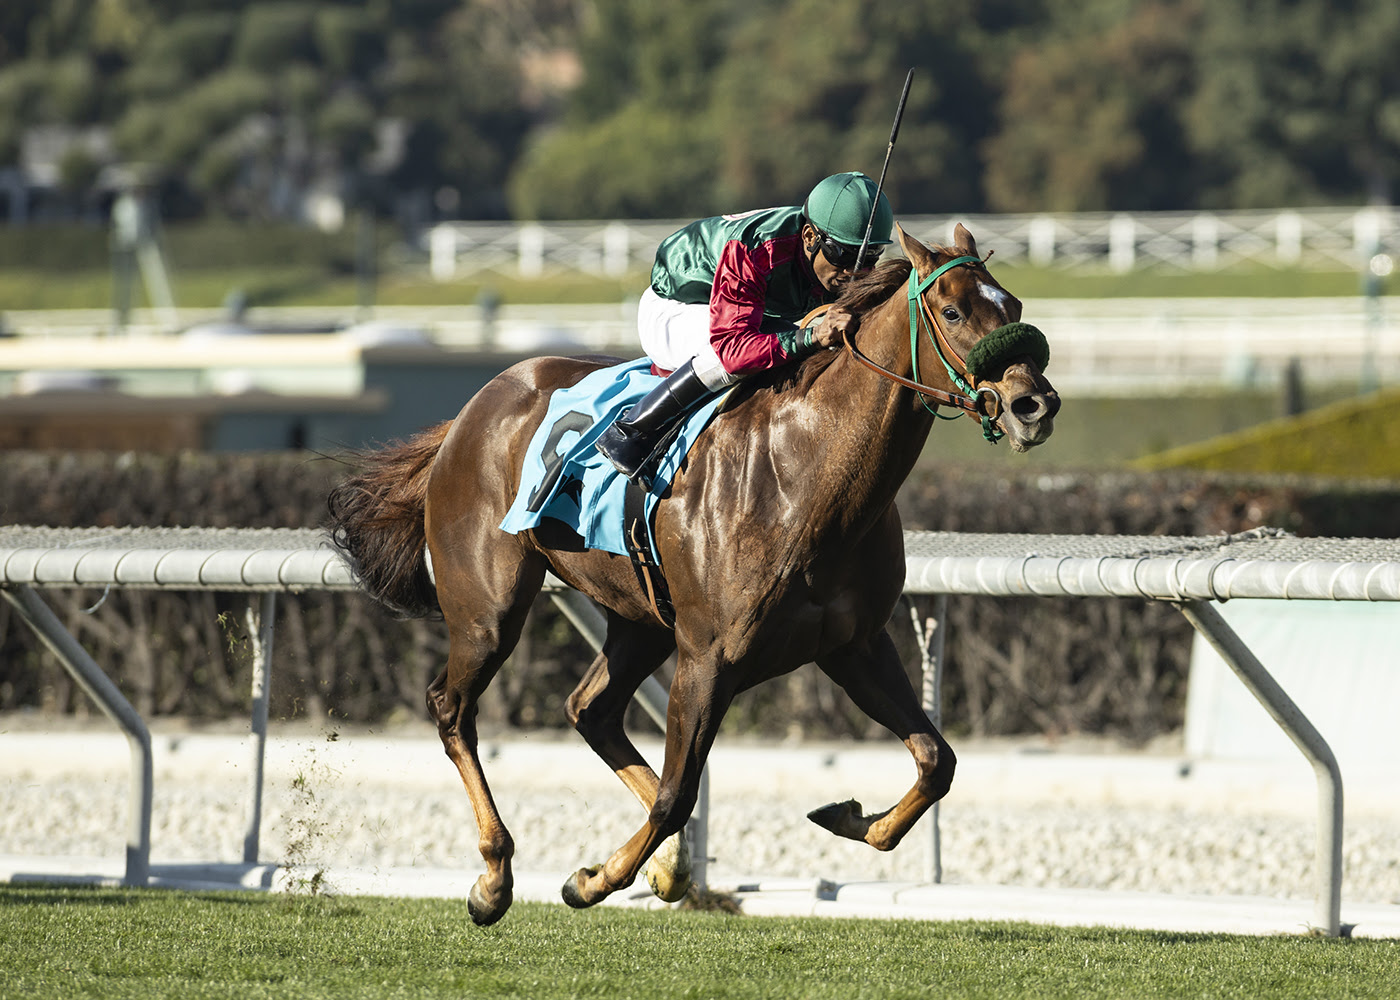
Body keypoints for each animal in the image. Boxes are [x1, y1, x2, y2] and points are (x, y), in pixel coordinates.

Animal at [326, 223, 1059, 925]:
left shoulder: (855, 645)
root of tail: (472, 408)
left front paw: (848, 816)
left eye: (1015, 307)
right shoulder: (710, 658)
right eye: (953, 310)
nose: (1035, 404)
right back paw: (496, 877)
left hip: (641, 616)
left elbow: (938, 761)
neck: (805, 471)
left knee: (590, 710)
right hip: (488, 607)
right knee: (453, 708)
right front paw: (592, 881)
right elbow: (678, 795)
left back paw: (666, 866)